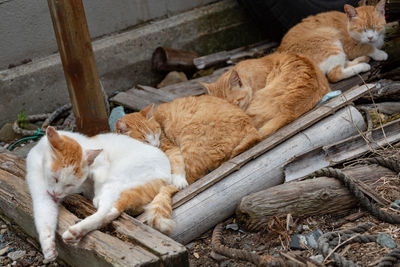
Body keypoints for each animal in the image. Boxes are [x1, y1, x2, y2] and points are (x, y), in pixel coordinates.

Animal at [26, 127, 177, 264]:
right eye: (56, 178)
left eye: (70, 185)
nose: (57, 194)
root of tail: (167, 178)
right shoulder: (42, 195)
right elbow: (44, 219)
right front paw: (48, 248)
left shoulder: (102, 163)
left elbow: (98, 173)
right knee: (113, 210)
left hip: (118, 176)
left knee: (108, 208)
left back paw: (77, 229)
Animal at [115, 95, 262, 187]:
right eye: (144, 141)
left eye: (156, 134)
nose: (156, 145)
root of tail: (248, 123)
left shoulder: (171, 148)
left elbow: (176, 165)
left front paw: (178, 181)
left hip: (190, 140)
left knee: (192, 175)